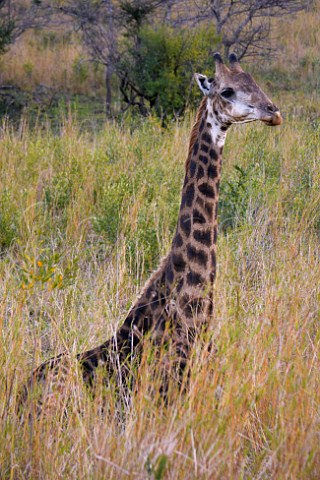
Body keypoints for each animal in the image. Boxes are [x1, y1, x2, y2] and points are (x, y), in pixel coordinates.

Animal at [18, 53, 282, 408]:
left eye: (255, 82)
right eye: (227, 91)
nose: (273, 112)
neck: (191, 300)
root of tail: (19, 395)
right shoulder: (171, 389)